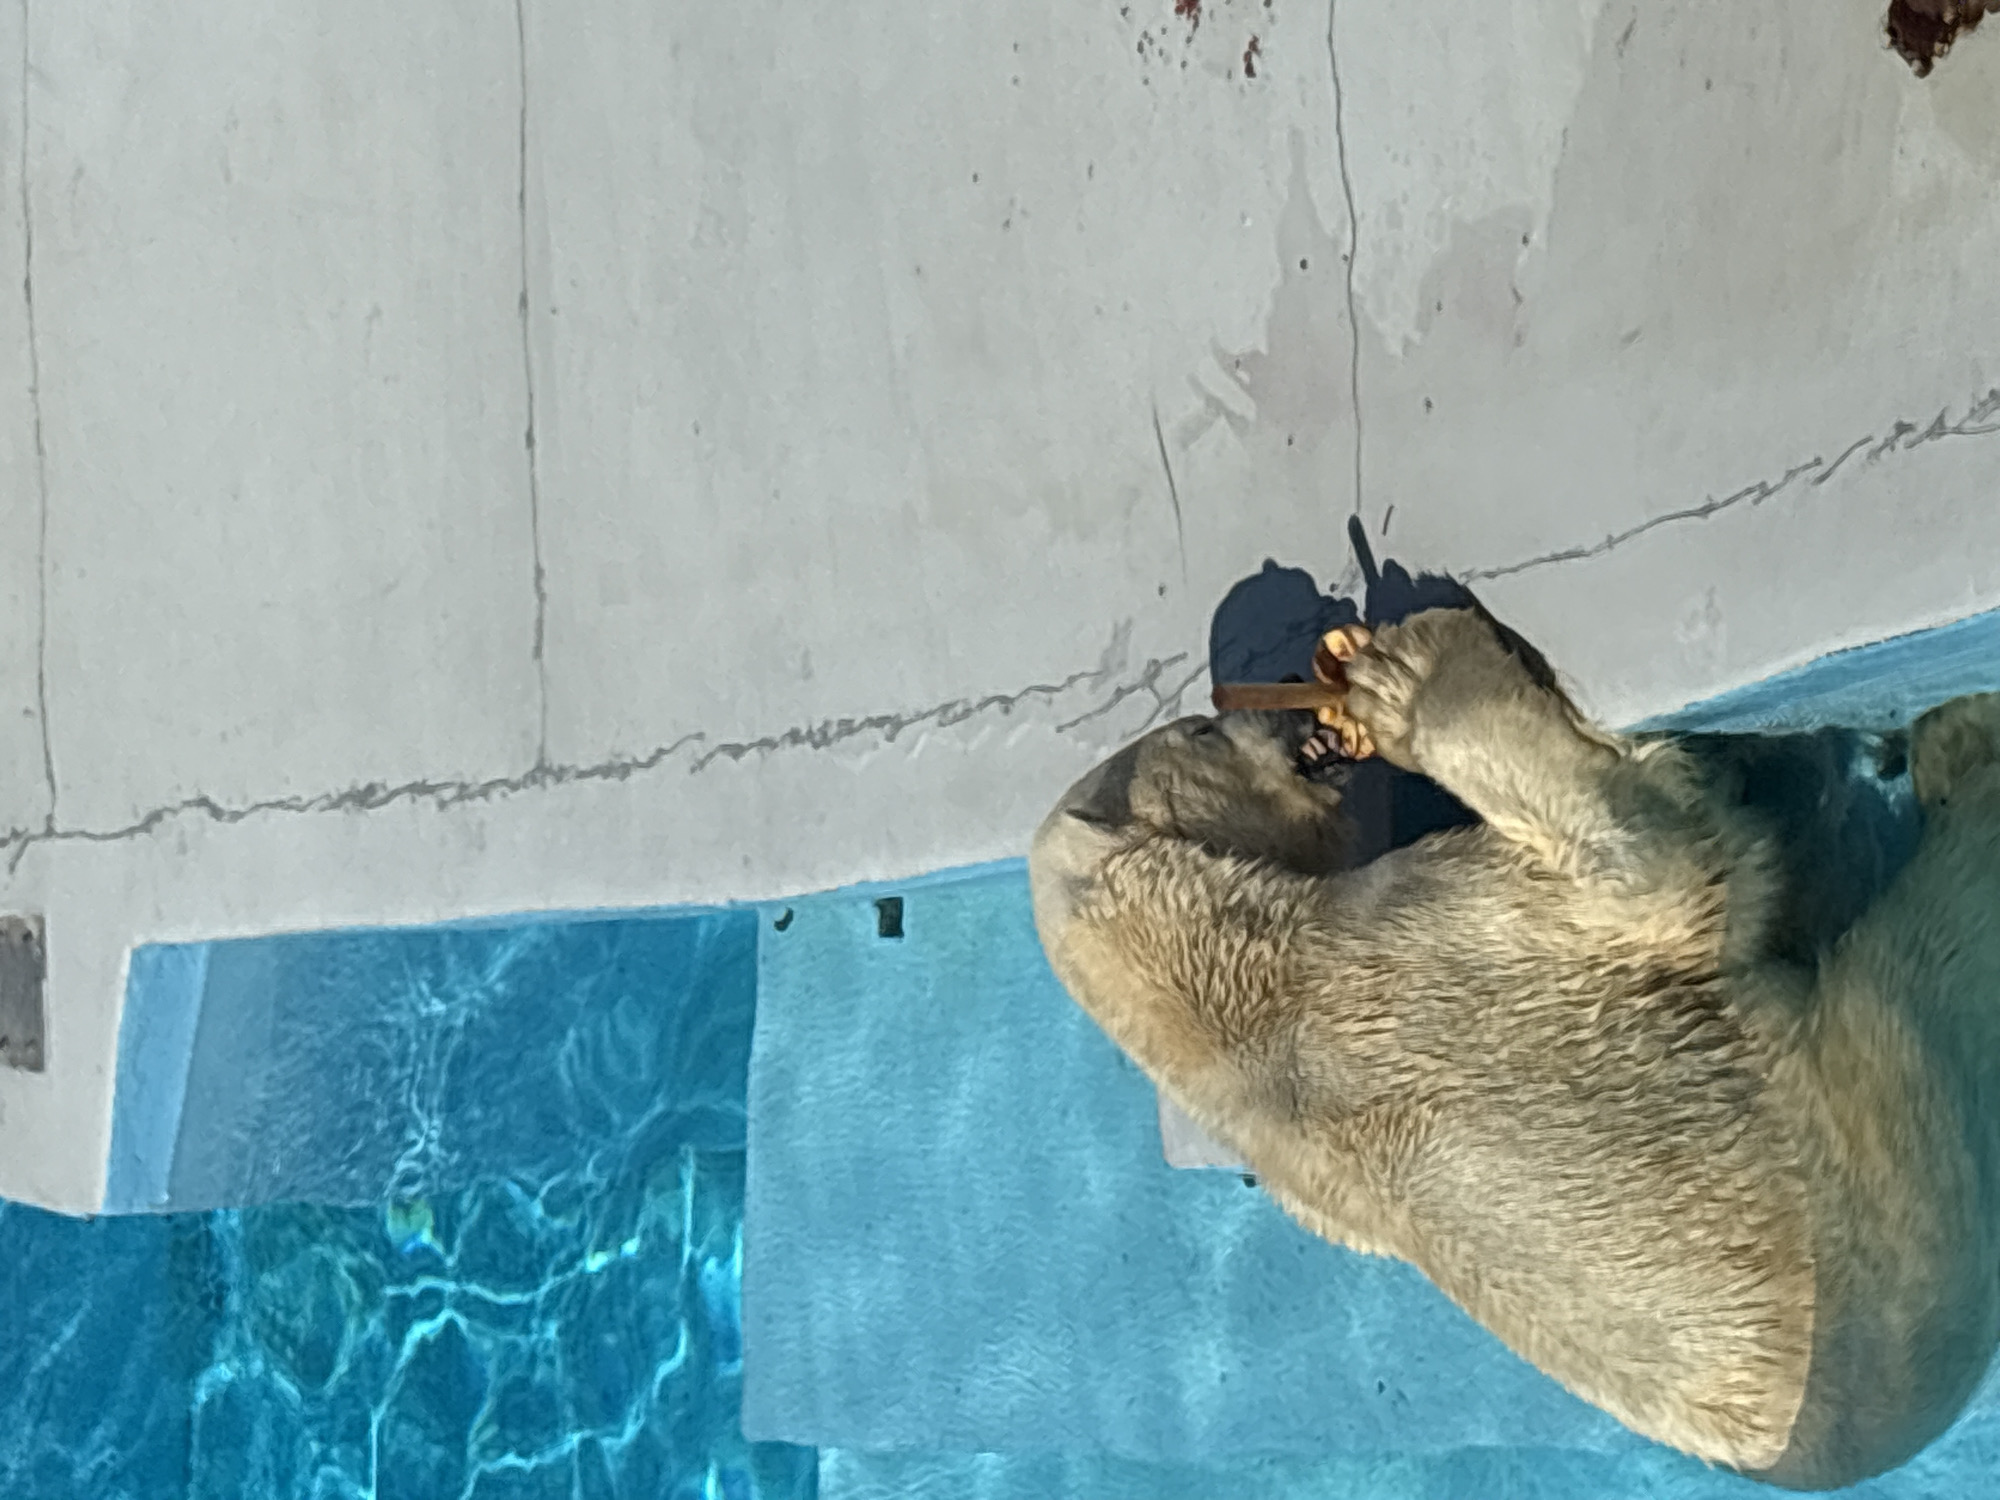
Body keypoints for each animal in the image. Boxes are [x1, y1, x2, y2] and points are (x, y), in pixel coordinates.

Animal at [1028, 603, 2000, 1490]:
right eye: (1199, 730)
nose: (1281, 706)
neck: (1217, 997)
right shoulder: (1431, 936)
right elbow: (1655, 858)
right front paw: (1414, 672)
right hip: (1882, 1163)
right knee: (1935, 934)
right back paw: (1958, 746)